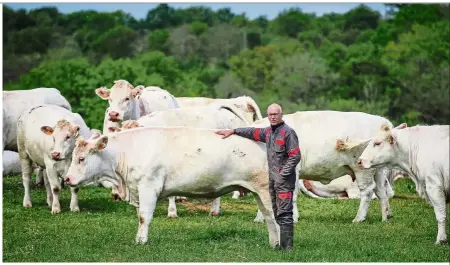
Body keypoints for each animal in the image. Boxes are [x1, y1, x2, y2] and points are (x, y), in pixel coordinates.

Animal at [63, 127, 280, 246]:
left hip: (266, 190)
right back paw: (274, 243)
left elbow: (144, 217)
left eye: (81, 159)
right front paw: (139, 239)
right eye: (74, 157)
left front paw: (141, 242)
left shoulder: (148, 186)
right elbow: (140, 216)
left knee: (275, 217)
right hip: (258, 192)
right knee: (269, 218)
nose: (67, 179)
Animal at [253, 109, 398, 223]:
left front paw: (292, 218)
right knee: (381, 190)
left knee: (367, 191)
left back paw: (359, 218)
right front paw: (261, 218)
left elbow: (290, 194)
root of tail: (382, 121)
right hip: (378, 170)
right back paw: (385, 216)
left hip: (362, 168)